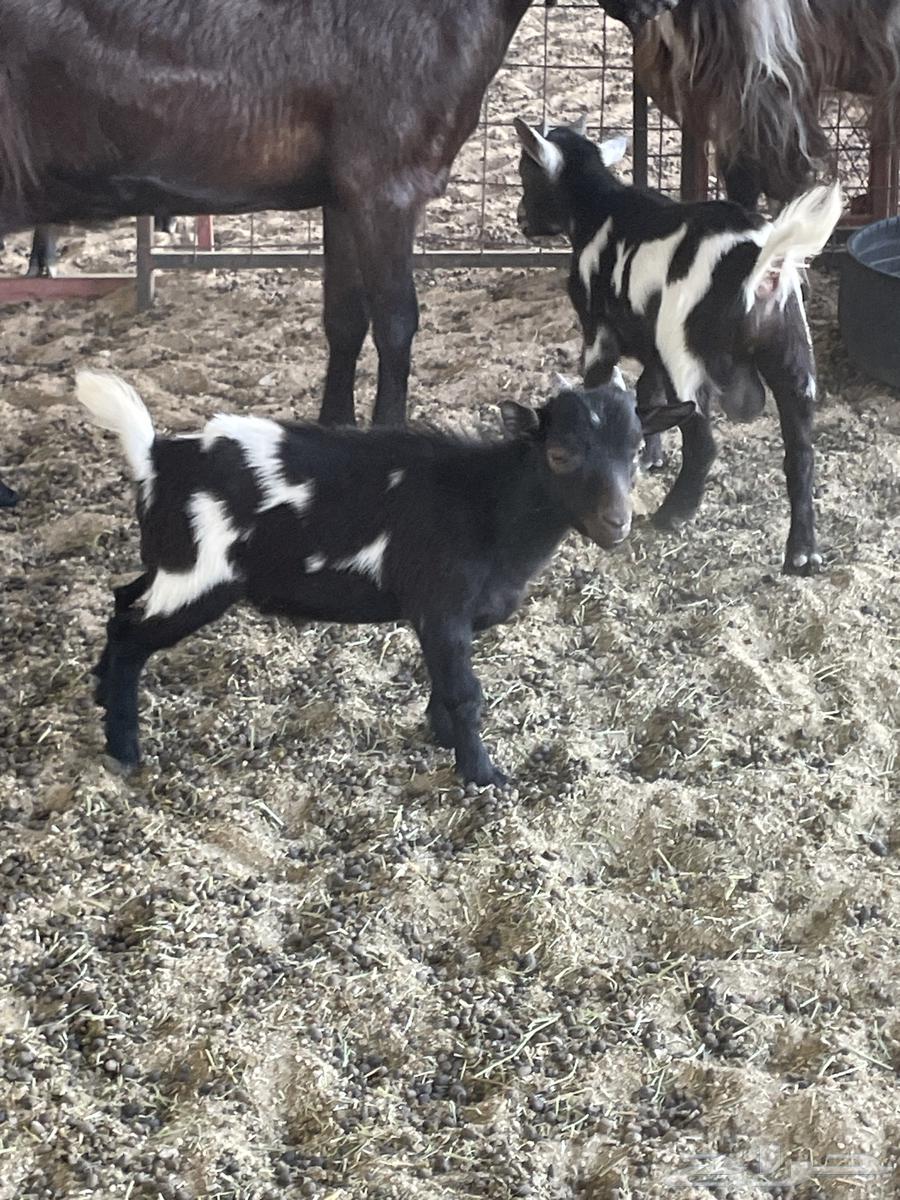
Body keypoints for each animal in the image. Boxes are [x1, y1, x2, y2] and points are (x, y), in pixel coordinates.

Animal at [75, 369, 692, 786]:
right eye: (560, 453)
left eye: (638, 449)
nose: (617, 523)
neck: (487, 502)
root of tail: (156, 459)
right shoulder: (442, 606)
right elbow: (465, 692)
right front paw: (483, 775)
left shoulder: (443, 617)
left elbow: (444, 683)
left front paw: (443, 738)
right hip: (197, 577)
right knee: (131, 638)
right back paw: (124, 749)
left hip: (166, 564)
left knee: (121, 604)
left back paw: (102, 696)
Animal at [514, 117, 842, 575]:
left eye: (527, 173)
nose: (520, 218)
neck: (601, 208)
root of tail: (759, 266)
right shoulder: (652, 337)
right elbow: (645, 393)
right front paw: (650, 454)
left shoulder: (600, 334)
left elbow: (605, 389)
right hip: (792, 354)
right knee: (801, 454)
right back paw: (802, 552)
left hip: (685, 356)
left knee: (704, 443)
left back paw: (673, 514)